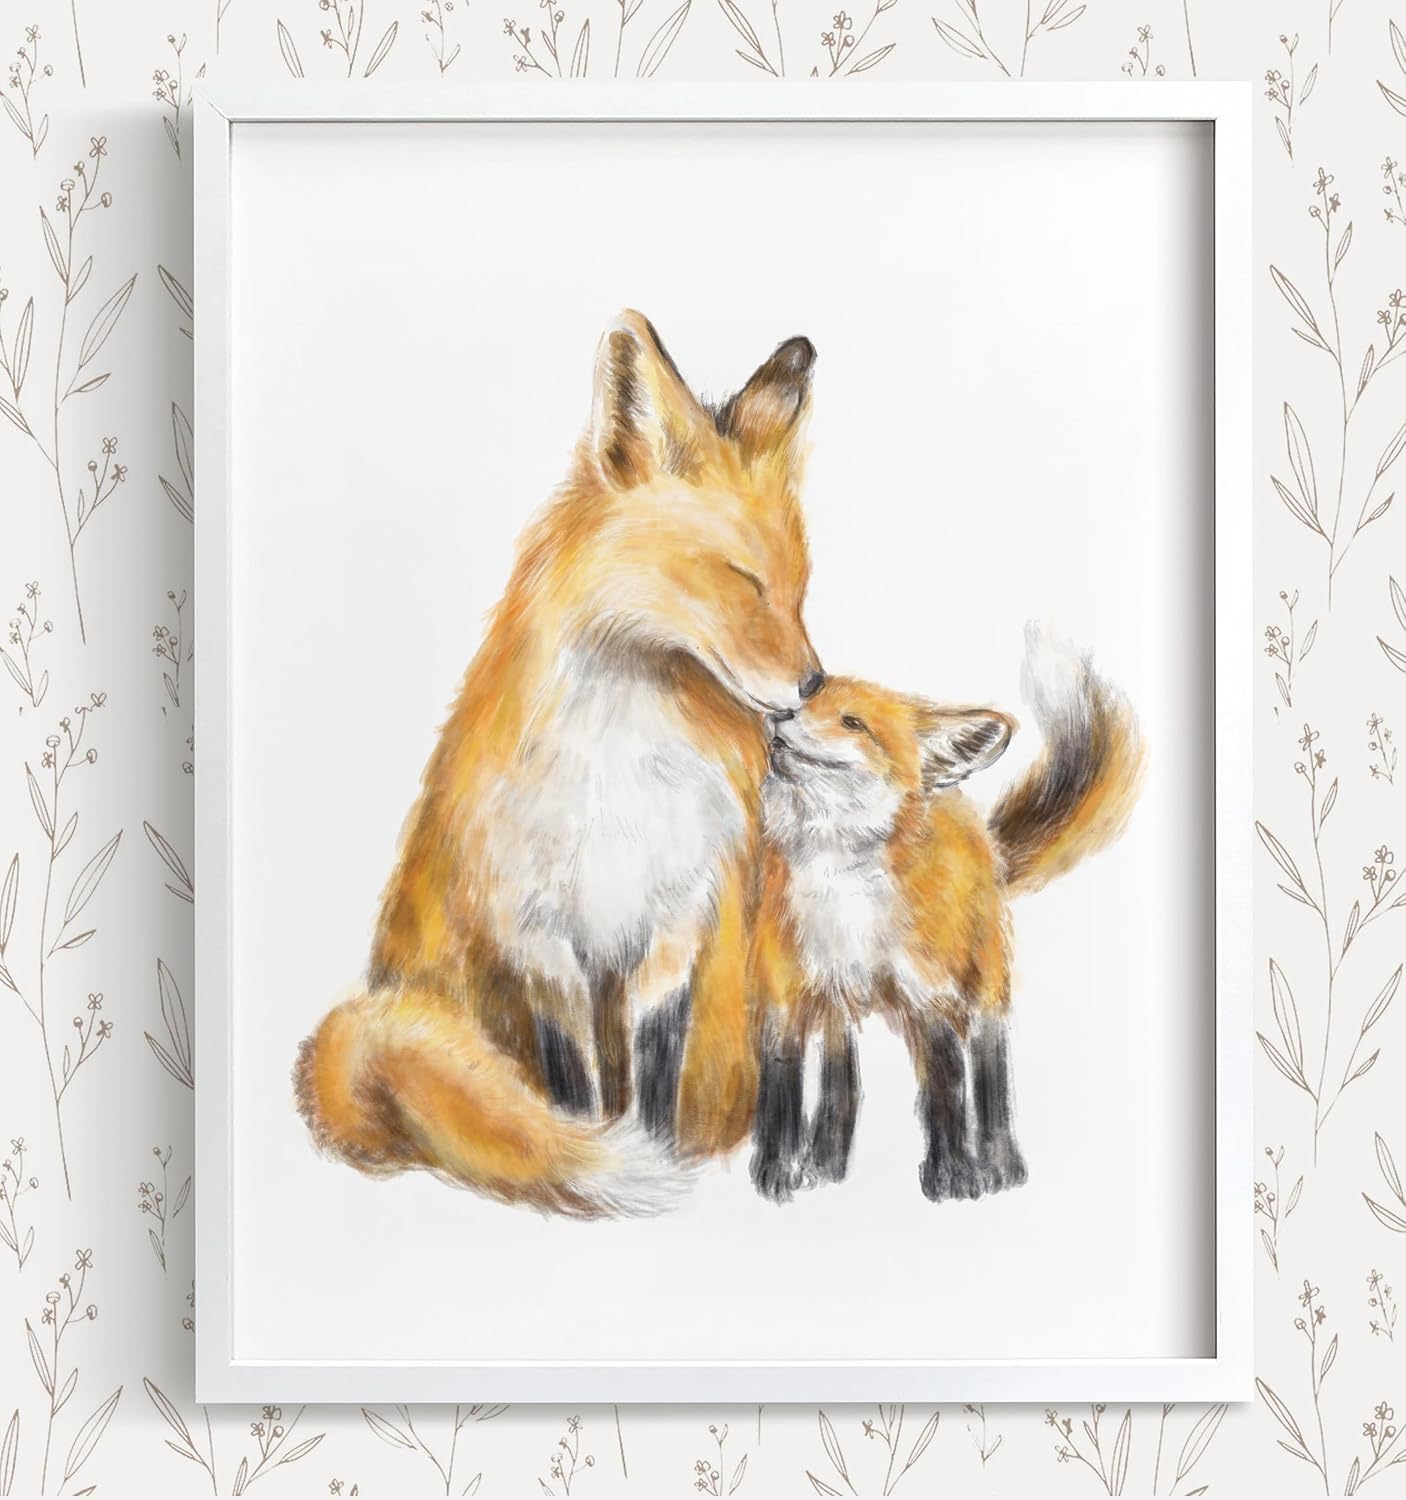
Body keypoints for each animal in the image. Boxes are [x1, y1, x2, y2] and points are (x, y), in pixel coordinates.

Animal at [296, 311, 825, 1217]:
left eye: (799, 587)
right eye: (742, 579)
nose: (813, 684)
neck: (621, 769)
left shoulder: (673, 928)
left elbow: (653, 1076)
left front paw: (661, 1156)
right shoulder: (539, 941)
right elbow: (574, 1091)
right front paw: (602, 1158)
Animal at [747, 627, 1145, 1205]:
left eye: (853, 723)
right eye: (805, 704)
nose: (780, 713)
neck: (840, 884)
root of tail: (979, 827)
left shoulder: (927, 995)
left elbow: (945, 1094)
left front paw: (953, 1176)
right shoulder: (784, 998)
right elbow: (780, 1099)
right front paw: (777, 1174)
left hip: (983, 993)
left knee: (987, 1074)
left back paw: (1002, 1165)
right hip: (838, 1010)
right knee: (843, 1085)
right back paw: (827, 1164)